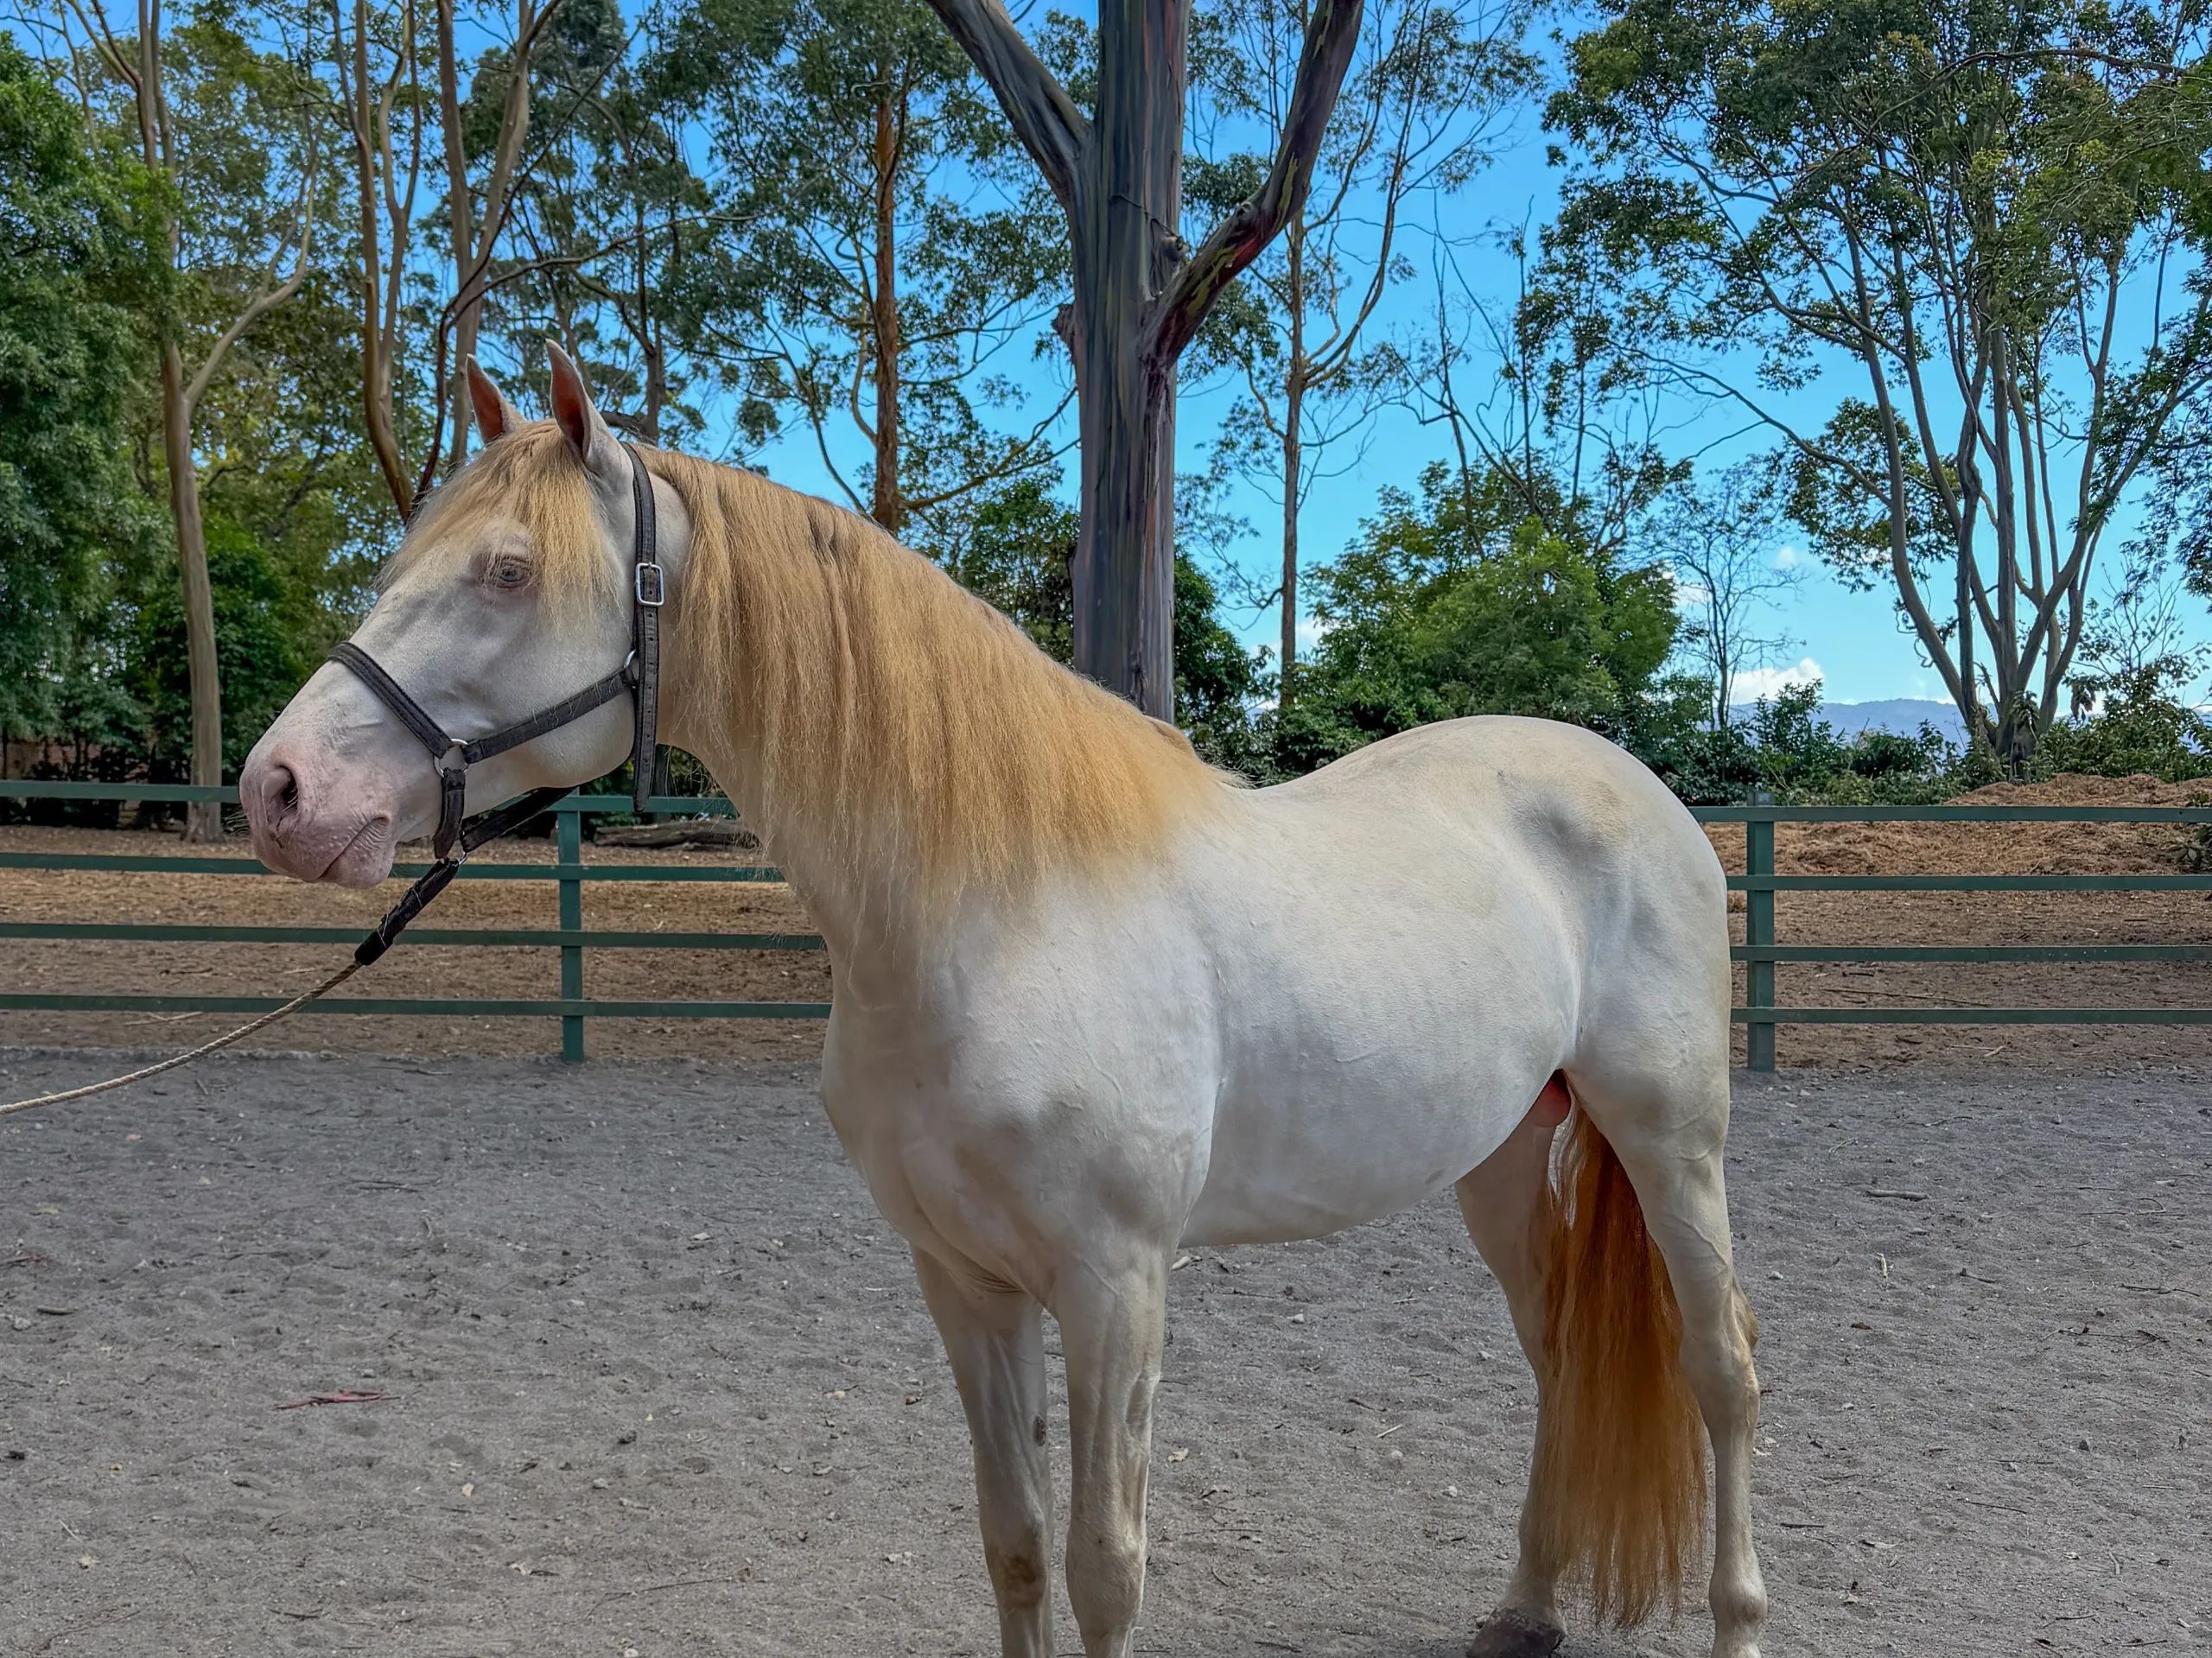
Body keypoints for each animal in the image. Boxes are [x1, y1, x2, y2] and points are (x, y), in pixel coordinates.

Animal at [240, 347, 1766, 1658]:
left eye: (507, 570)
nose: (281, 790)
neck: (990, 921)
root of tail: (1630, 784)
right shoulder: (963, 1280)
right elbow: (1017, 1542)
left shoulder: (1118, 1286)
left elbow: (1104, 1564)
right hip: (1503, 1155)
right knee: (1561, 1362)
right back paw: (1524, 1609)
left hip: (1672, 1141)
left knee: (1720, 1369)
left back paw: (1738, 1615)